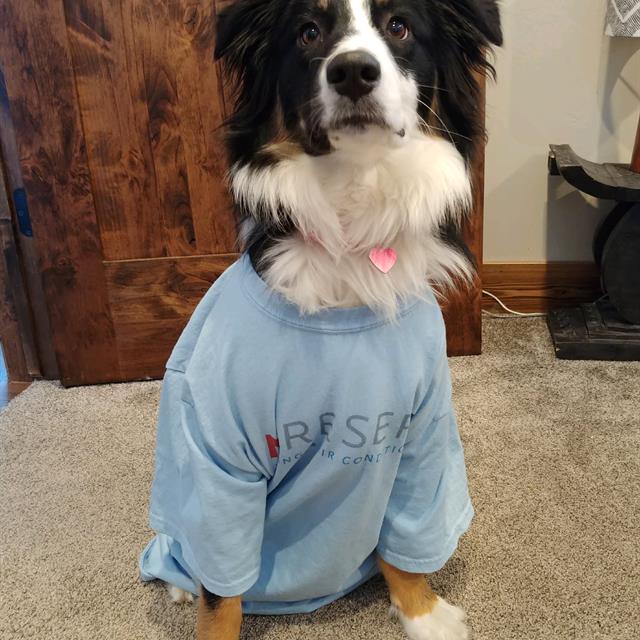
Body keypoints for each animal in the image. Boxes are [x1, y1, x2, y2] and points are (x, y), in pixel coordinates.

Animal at [139, 1, 500, 640]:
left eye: (400, 26)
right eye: (308, 32)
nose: (352, 71)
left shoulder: (422, 430)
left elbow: (406, 541)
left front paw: (423, 614)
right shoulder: (219, 455)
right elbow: (221, 594)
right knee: (183, 550)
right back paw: (177, 580)